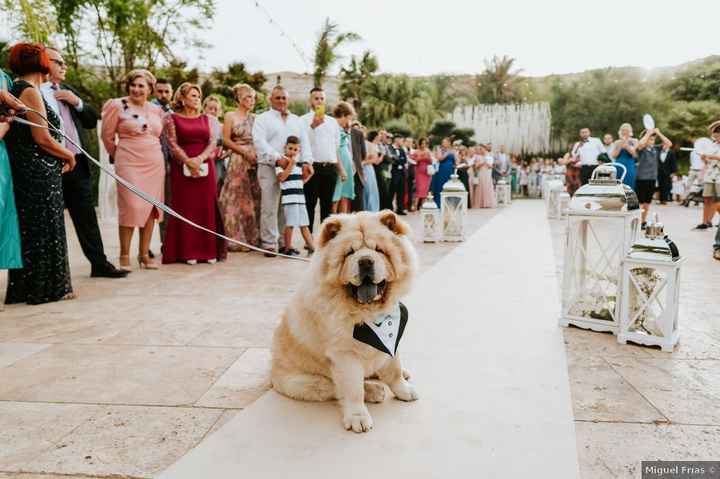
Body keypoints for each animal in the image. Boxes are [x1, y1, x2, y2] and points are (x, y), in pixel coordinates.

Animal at [270, 212, 416, 434]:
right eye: (350, 253)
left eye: (379, 250)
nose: (365, 261)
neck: (369, 314)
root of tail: (271, 372)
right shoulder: (344, 354)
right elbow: (353, 389)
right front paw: (358, 418)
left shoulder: (393, 338)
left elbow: (394, 368)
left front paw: (403, 389)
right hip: (302, 381)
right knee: (334, 387)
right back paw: (374, 391)